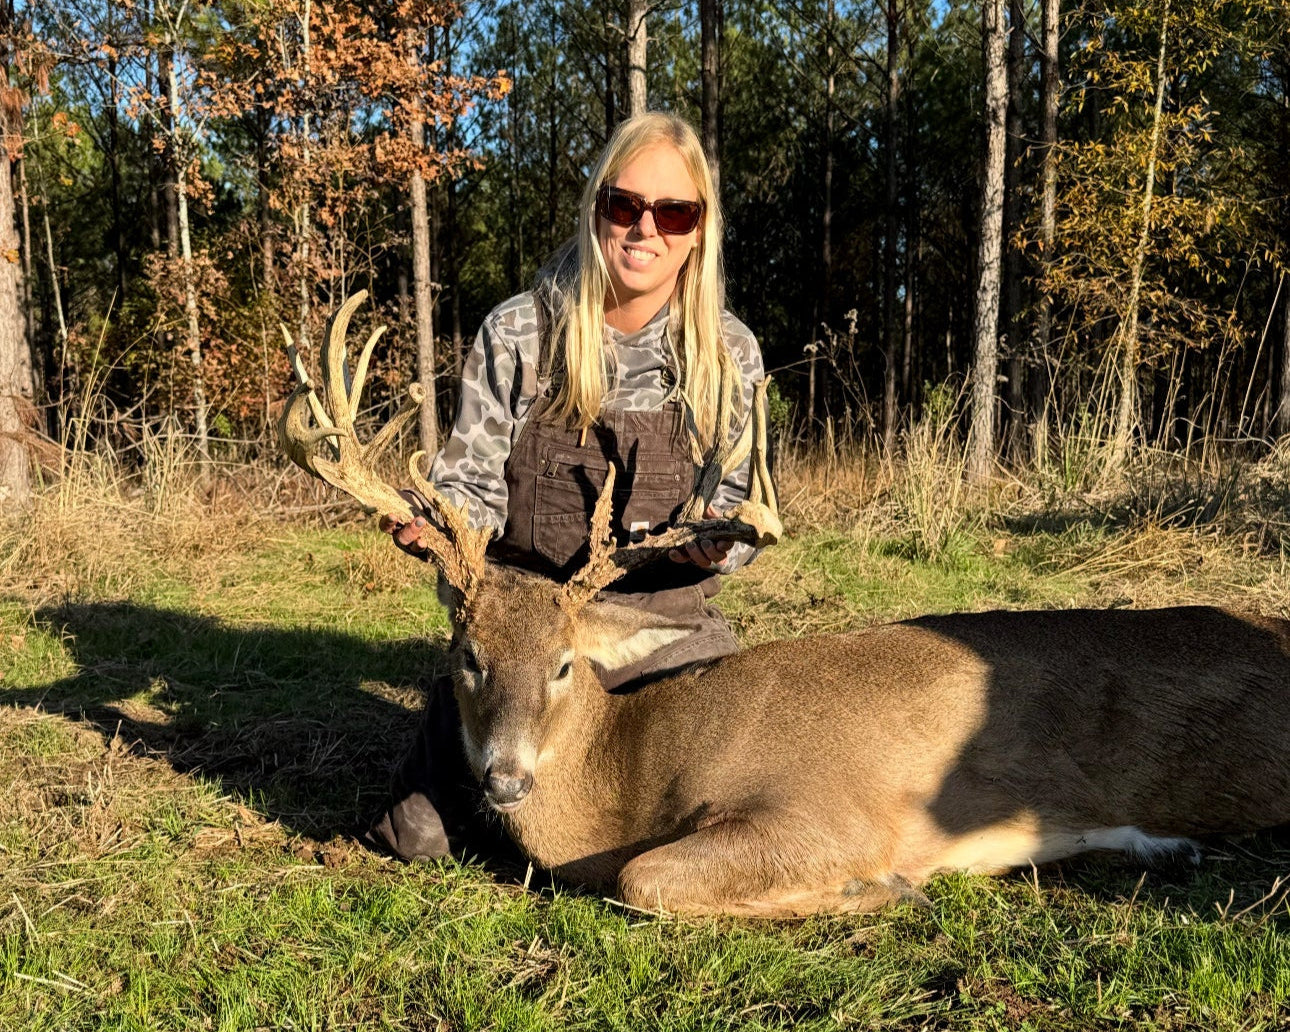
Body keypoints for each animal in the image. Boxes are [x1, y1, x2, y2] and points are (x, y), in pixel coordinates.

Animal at [279, 291, 1290, 918]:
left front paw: (872, 890)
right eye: (467, 656)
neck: (626, 784)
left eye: (565, 664)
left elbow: (646, 879)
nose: (504, 778)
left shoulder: (826, 814)